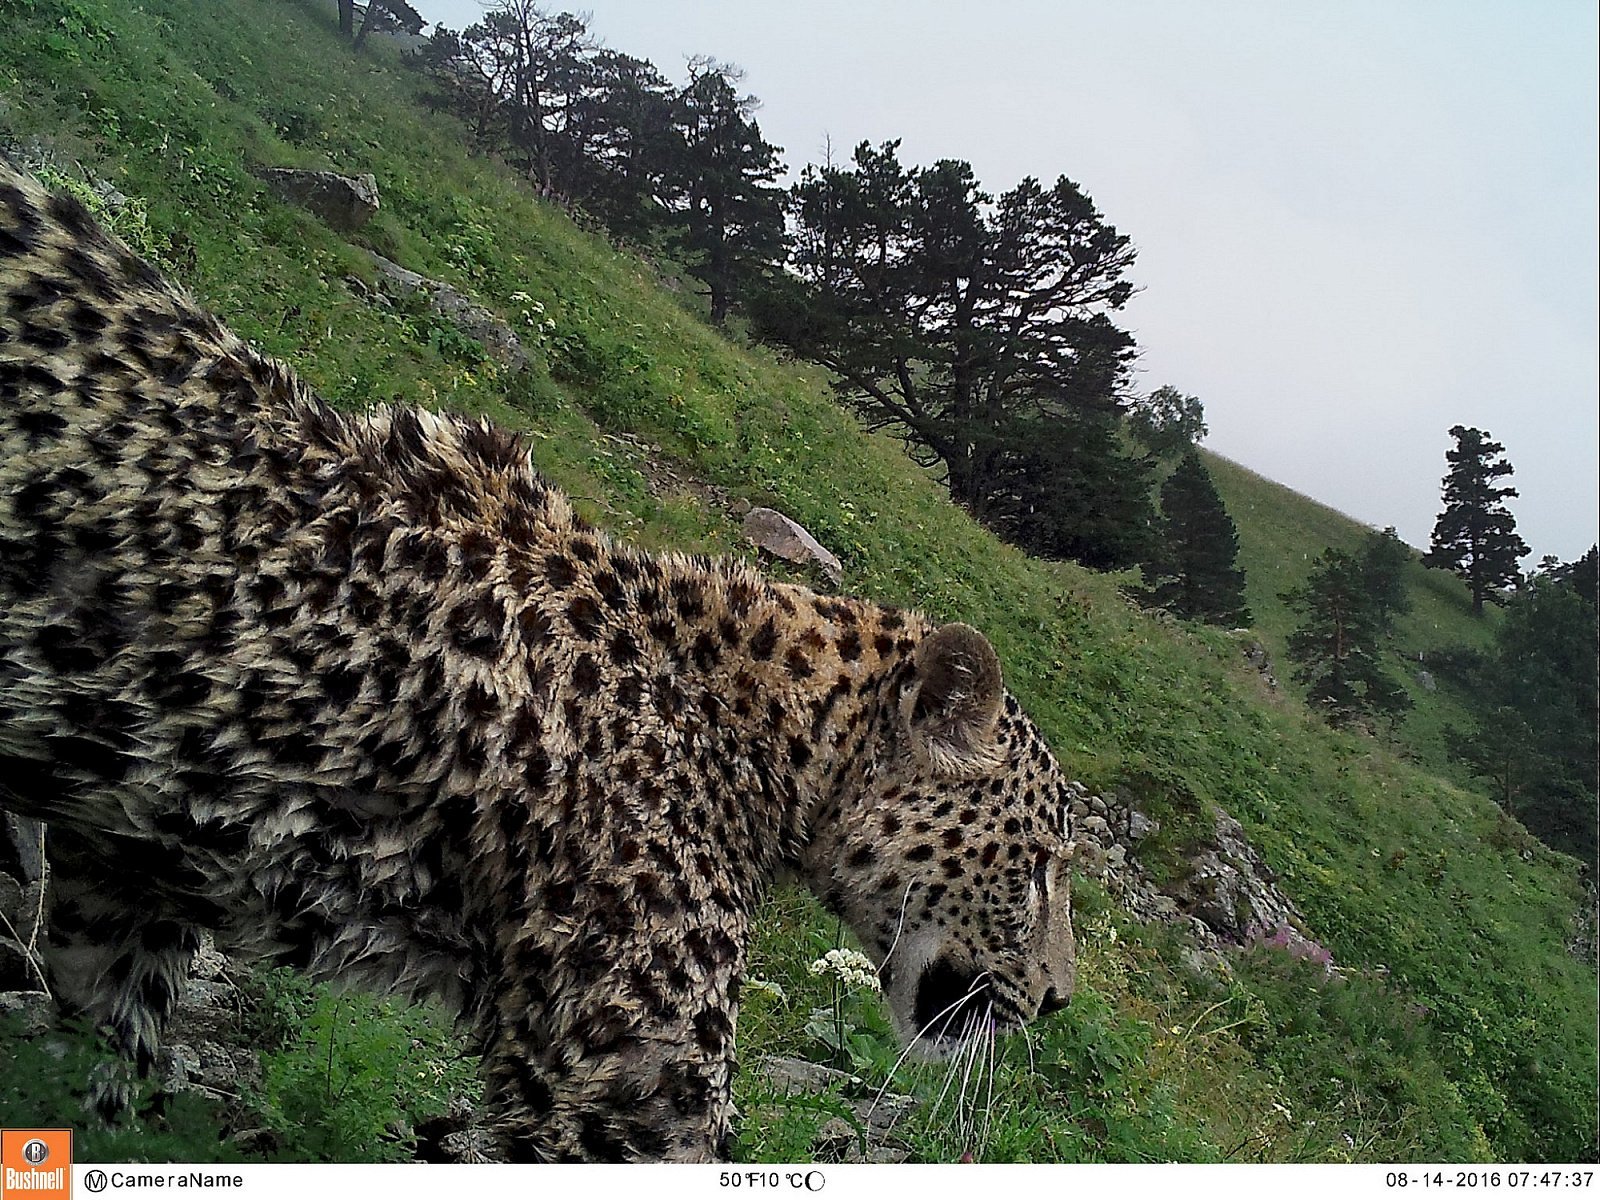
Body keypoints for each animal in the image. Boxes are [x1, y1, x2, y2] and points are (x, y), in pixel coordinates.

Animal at [3, 160, 1075, 1164]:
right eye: (1039, 868)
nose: (1059, 999)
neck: (764, 731)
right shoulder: (626, 1078)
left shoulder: (132, 869)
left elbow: (102, 1052)